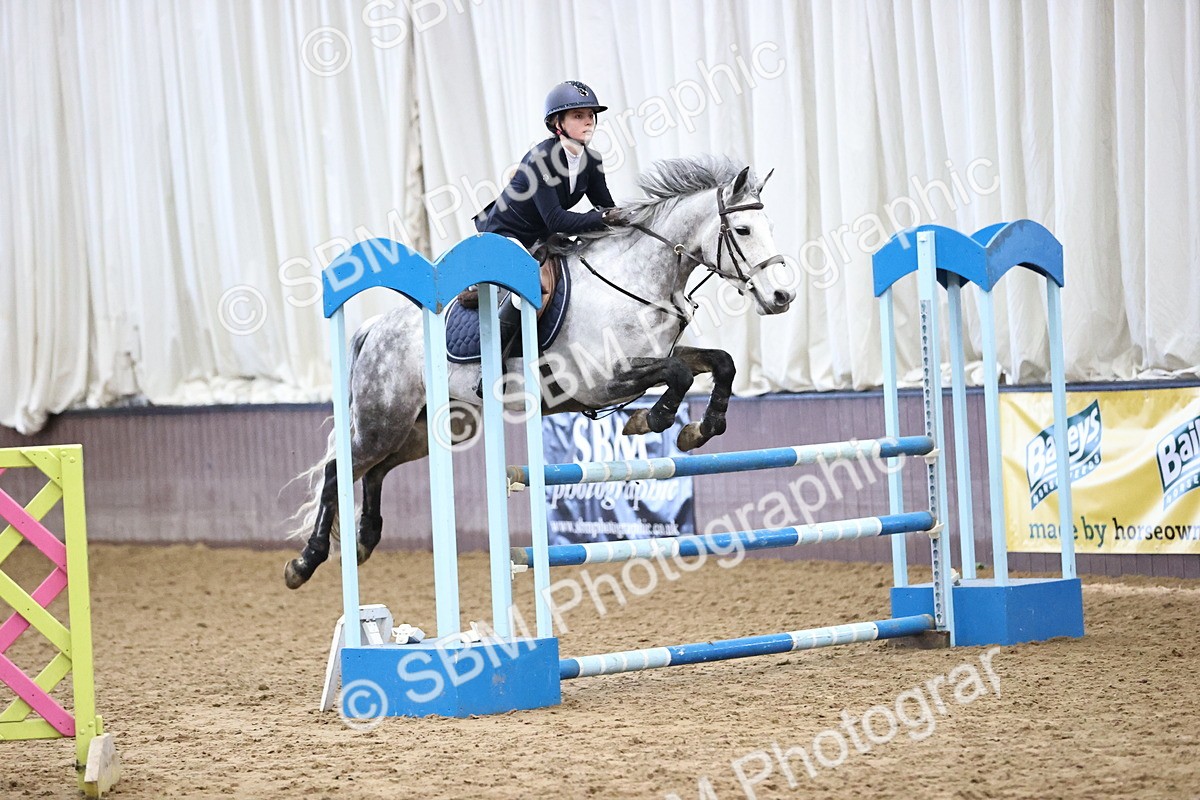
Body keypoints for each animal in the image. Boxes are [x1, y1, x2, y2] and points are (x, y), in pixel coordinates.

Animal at [284, 155, 796, 589]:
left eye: (770, 226)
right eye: (743, 229)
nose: (782, 297)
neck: (636, 282)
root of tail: (375, 326)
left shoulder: (650, 359)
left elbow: (719, 363)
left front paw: (698, 430)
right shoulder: (600, 383)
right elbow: (679, 376)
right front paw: (651, 419)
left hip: (429, 428)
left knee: (374, 470)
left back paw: (365, 539)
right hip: (383, 420)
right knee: (338, 470)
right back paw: (305, 562)